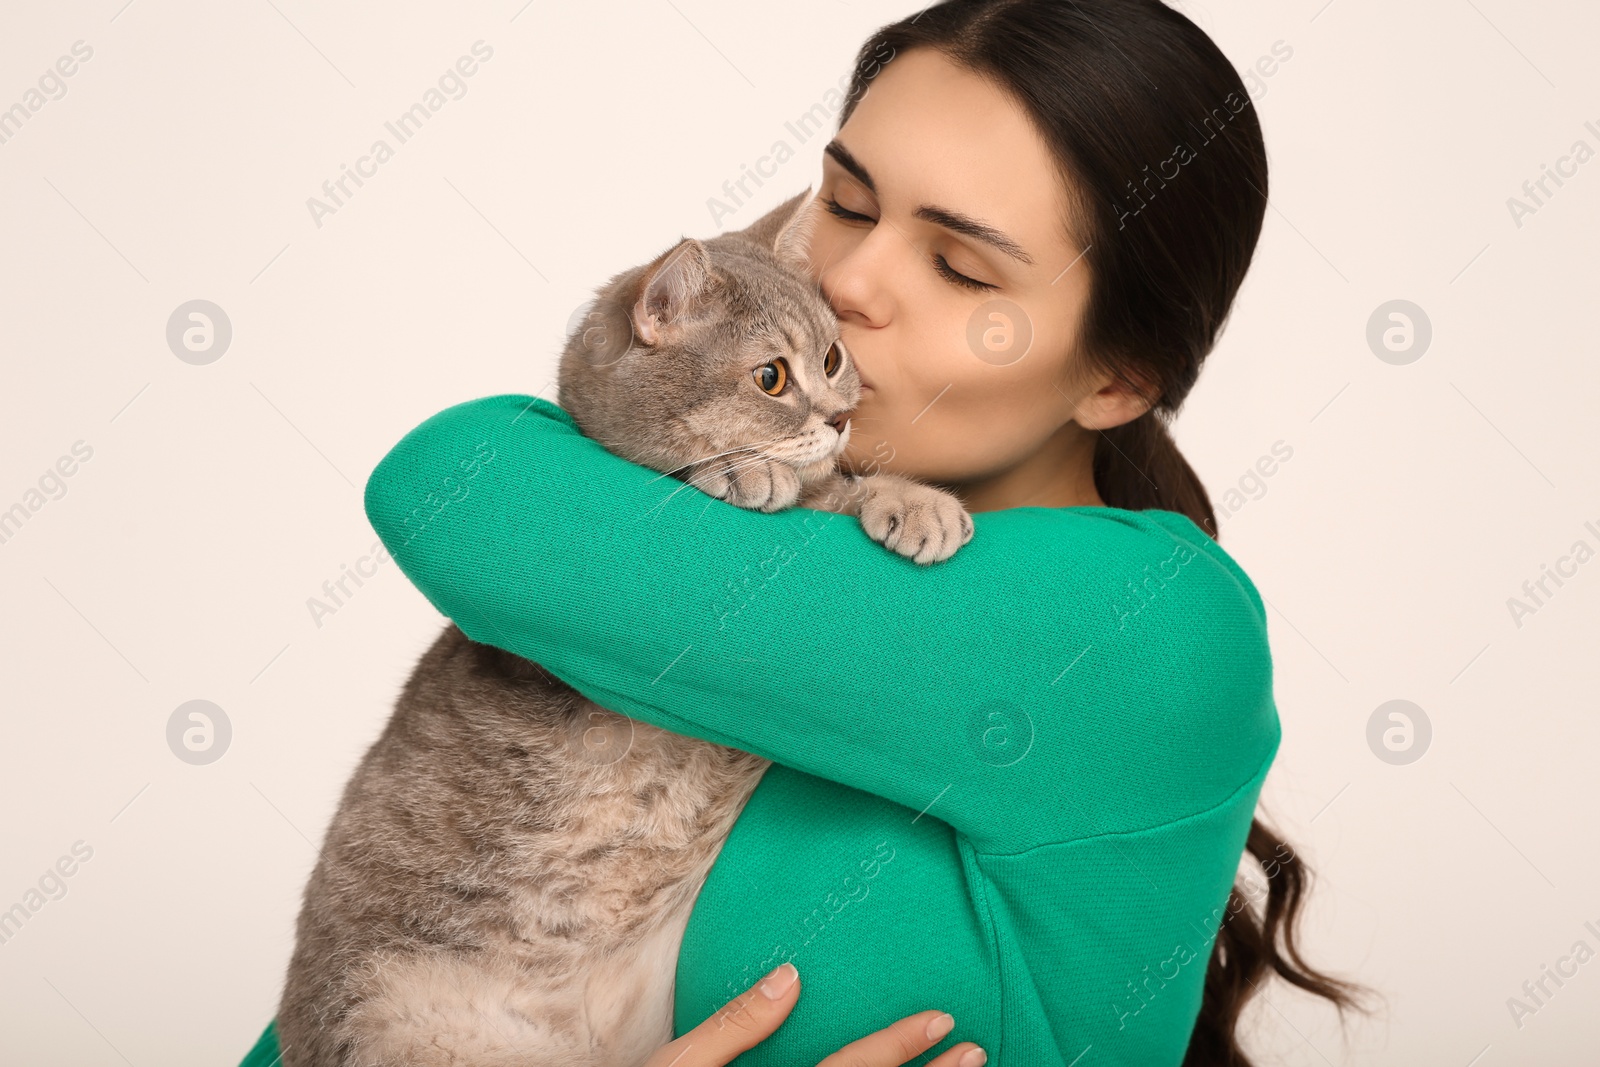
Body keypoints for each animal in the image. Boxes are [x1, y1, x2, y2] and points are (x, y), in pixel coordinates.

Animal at [276, 187, 972, 1062]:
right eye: (771, 376)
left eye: (833, 357)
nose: (843, 415)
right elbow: (796, 488)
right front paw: (785, 476)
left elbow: (834, 488)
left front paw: (903, 494)